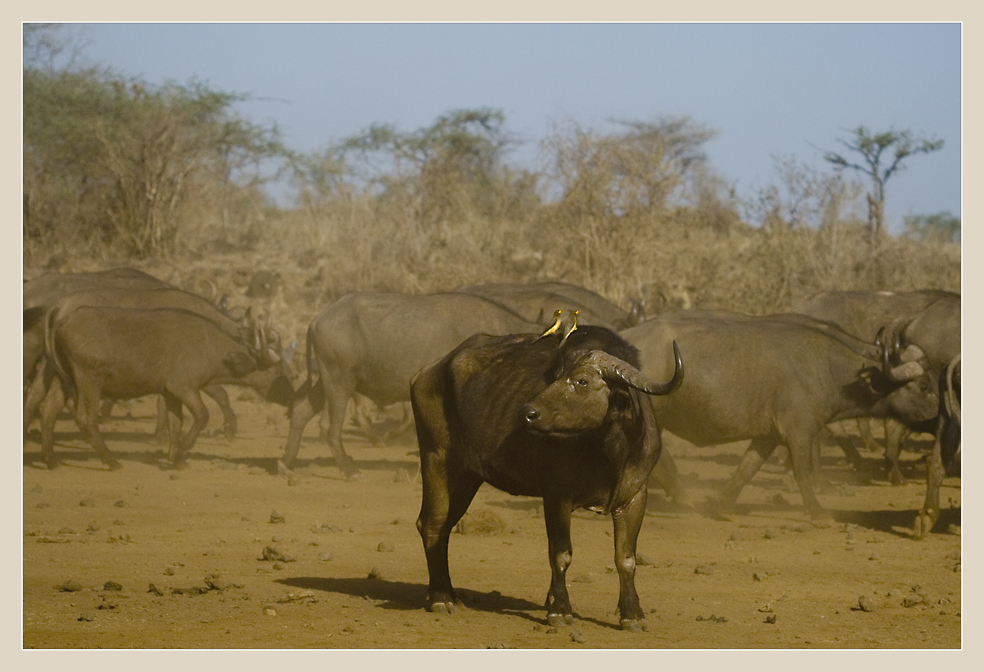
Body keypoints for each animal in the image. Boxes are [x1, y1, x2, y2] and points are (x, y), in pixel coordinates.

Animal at [280, 290, 544, 478]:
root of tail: (318, 319)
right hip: (339, 381)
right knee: (329, 426)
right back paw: (348, 469)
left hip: (327, 381)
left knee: (301, 410)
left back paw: (287, 463)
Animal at [412, 318, 680, 632]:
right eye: (557, 375)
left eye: (582, 381)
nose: (527, 413)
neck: (609, 452)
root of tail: (428, 372)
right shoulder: (556, 496)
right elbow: (561, 554)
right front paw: (560, 609)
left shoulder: (635, 497)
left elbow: (626, 558)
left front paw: (632, 613)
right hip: (437, 459)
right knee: (432, 523)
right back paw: (441, 598)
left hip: (468, 476)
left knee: (445, 527)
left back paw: (448, 593)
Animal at [624, 312, 936, 524]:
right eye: (923, 386)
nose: (939, 417)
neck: (829, 369)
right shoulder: (799, 433)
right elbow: (803, 472)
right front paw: (818, 512)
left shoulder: (768, 436)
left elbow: (747, 468)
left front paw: (724, 507)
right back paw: (681, 495)